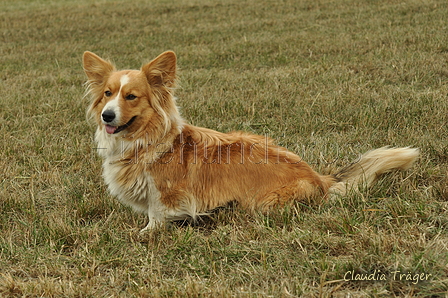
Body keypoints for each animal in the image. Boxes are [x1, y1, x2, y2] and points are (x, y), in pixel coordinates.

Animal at [83, 50, 420, 230]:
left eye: (131, 96)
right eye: (108, 94)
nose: (107, 116)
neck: (145, 140)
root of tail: (318, 178)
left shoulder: (166, 194)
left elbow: (156, 214)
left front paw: (146, 232)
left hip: (263, 204)